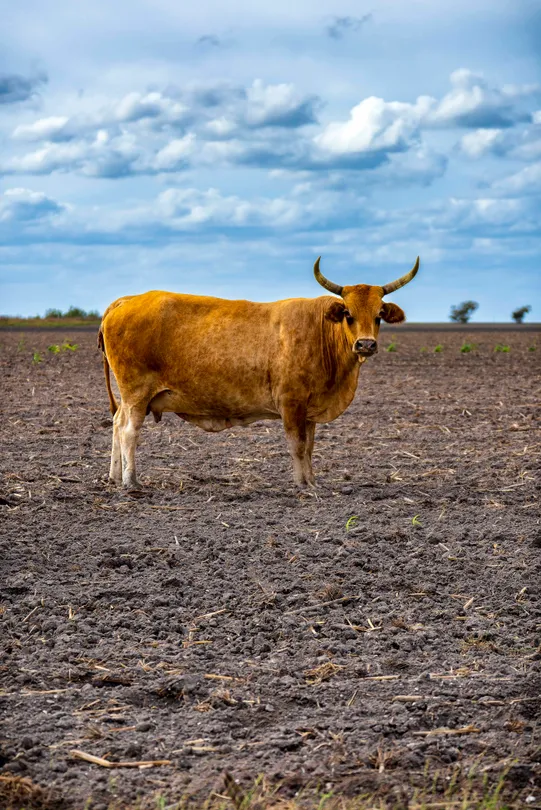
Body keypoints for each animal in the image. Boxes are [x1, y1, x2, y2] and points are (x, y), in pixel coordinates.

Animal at [98, 256, 419, 489]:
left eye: (379, 315)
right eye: (348, 315)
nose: (366, 344)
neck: (321, 331)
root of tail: (128, 299)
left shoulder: (309, 409)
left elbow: (310, 446)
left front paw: (313, 480)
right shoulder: (291, 403)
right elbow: (297, 445)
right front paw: (302, 485)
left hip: (128, 398)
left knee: (116, 424)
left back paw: (114, 476)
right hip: (136, 393)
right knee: (128, 431)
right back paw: (131, 481)